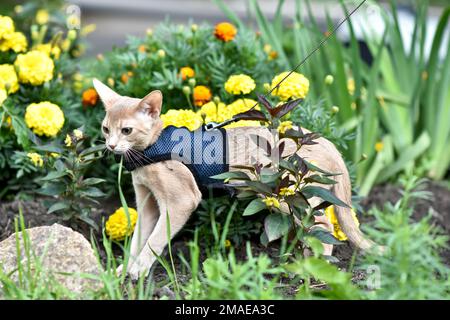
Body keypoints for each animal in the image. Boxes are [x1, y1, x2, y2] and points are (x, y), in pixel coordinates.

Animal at [93, 78, 374, 280]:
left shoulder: (181, 201)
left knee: (323, 226)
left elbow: (154, 240)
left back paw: (314, 268)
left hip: (287, 196)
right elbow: (137, 240)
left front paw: (138, 270)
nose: (111, 145)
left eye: (126, 130)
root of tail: (327, 142)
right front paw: (121, 272)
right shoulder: (148, 204)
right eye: (106, 128)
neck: (150, 151)